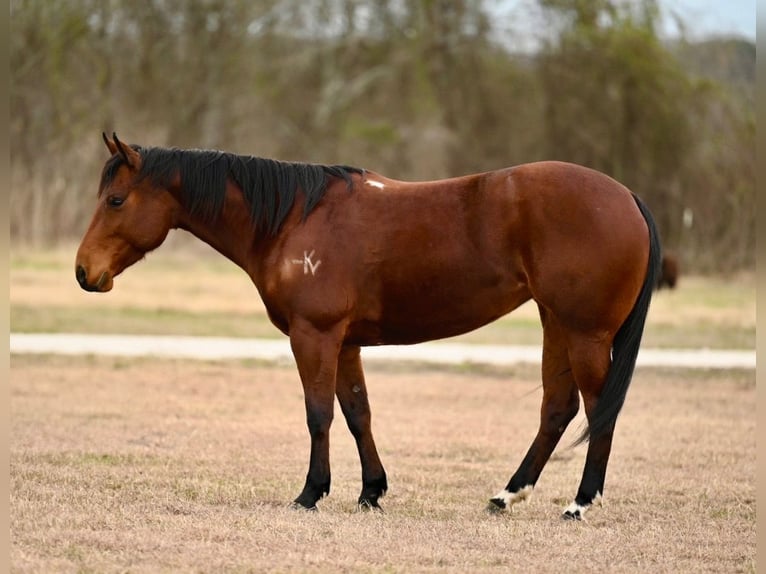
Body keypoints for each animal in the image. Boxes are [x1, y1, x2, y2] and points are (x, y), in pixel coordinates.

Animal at [79, 134, 664, 520]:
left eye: (116, 199)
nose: (85, 272)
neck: (295, 218)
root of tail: (628, 197)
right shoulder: (345, 343)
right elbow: (357, 412)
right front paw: (370, 492)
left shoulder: (314, 335)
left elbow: (318, 414)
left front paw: (311, 493)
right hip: (555, 323)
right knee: (558, 408)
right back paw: (507, 494)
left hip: (585, 333)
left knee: (599, 409)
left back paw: (581, 502)